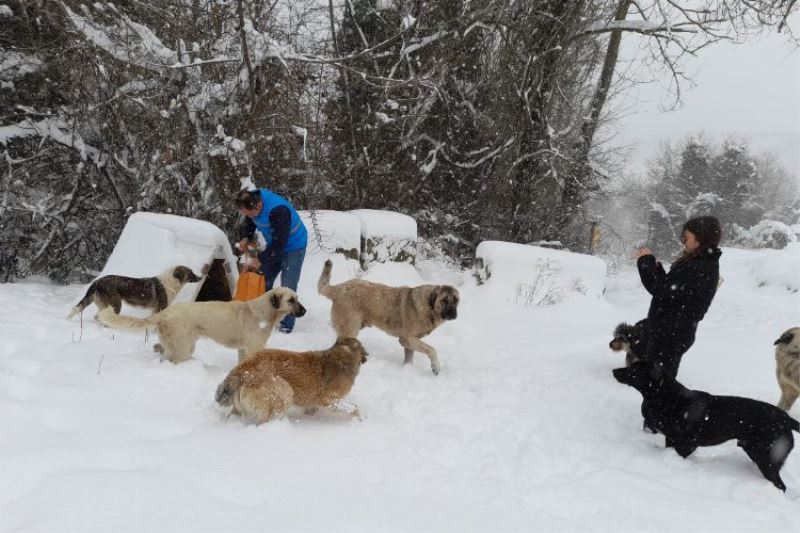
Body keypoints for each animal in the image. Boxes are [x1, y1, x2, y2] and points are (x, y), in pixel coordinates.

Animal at [67, 264, 202, 318]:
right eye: (191, 273)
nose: (201, 277)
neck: (172, 281)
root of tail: (97, 281)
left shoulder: (155, 309)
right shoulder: (160, 308)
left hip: (105, 306)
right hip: (116, 305)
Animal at [217, 336, 370, 424]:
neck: (343, 354)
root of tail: (241, 370)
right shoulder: (330, 399)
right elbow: (354, 408)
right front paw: (360, 419)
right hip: (284, 392)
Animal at [316, 258, 460, 374]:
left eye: (456, 300)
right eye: (445, 300)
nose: (454, 314)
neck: (428, 307)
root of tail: (338, 288)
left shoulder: (409, 343)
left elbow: (409, 359)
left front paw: (407, 370)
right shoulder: (407, 338)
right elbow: (431, 349)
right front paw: (436, 367)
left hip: (356, 326)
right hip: (351, 327)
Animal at [616, 362, 796, 490]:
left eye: (634, 369)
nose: (614, 371)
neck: (668, 397)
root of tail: (786, 419)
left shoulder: (687, 443)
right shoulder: (672, 439)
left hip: (767, 457)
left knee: (781, 485)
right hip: (755, 452)